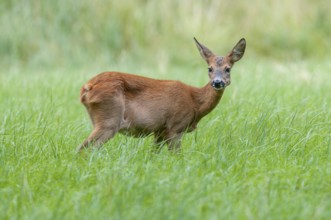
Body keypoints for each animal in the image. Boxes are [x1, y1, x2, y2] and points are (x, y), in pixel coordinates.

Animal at [76, 37, 245, 151]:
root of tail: (87, 87)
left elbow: (152, 154)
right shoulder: (175, 126)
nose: (217, 82)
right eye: (209, 68)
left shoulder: (159, 131)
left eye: (228, 69)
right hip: (109, 119)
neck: (195, 103)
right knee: (83, 149)